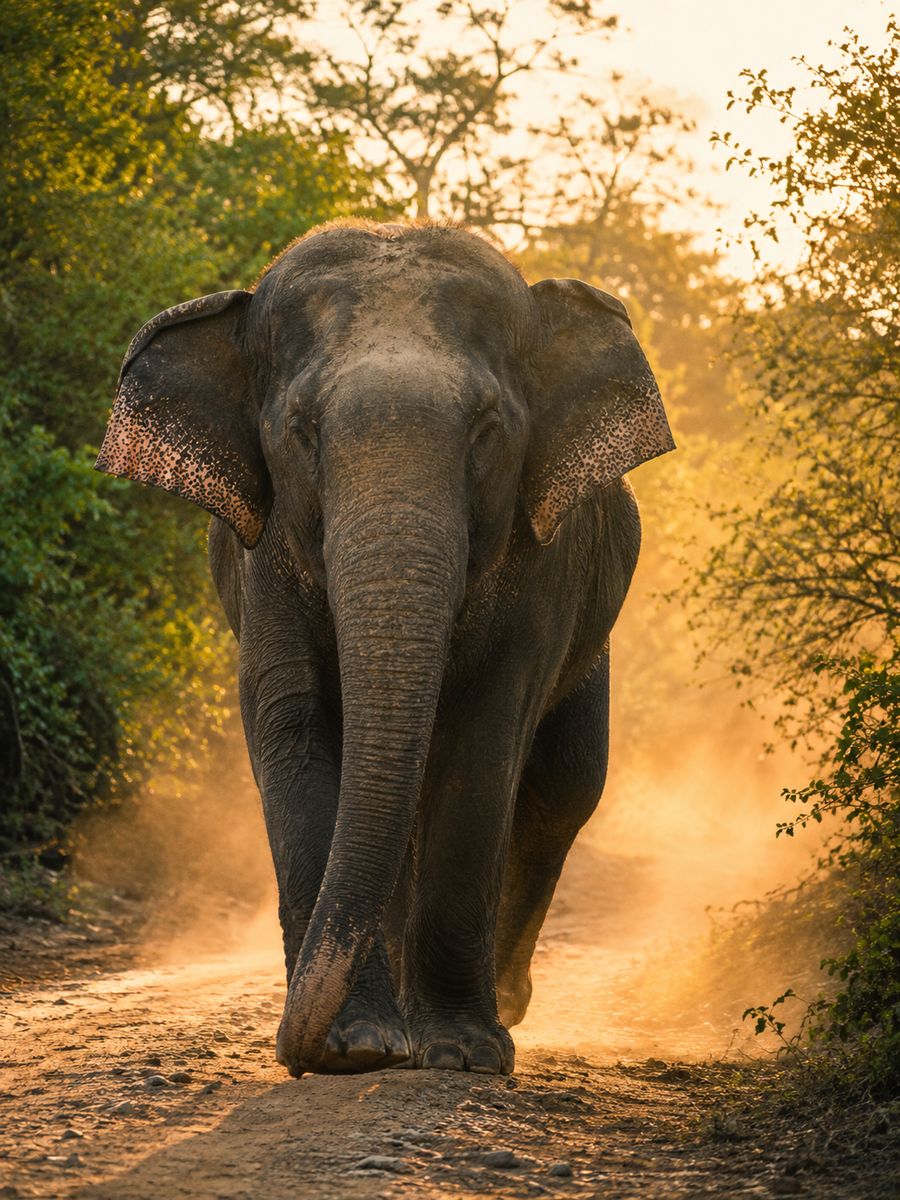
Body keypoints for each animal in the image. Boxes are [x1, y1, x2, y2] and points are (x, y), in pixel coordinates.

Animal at [95, 219, 674, 1078]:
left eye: (487, 431)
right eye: (301, 432)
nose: (292, 1049)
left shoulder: (543, 568)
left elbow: (486, 746)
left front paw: (464, 1054)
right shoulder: (266, 563)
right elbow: (293, 726)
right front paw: (357, 1049)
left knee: (565, 785)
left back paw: (505, 1003)